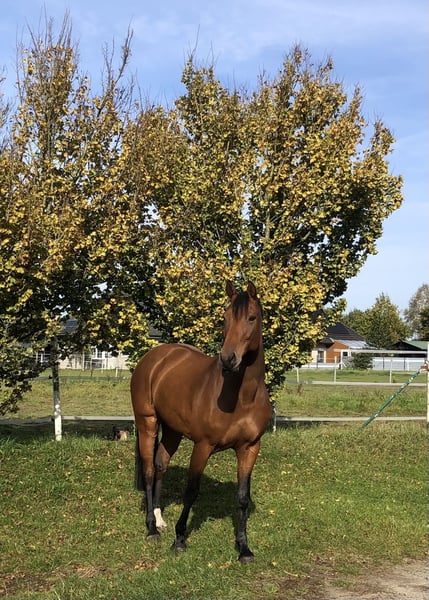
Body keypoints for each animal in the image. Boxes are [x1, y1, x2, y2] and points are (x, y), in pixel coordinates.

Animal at [130, 281, 272, 563]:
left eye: (251, 318)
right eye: (225, 318)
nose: (228, 359)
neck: (242, 397)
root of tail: (155, 357)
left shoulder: (250, 448)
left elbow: (242, 497)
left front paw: (244, 548)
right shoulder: (203, 445)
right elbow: (192, 491)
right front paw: (179, 540)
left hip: (172, 430)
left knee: (161, 464)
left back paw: (159, 519)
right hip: (147, 422)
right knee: (149, 470)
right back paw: (152, 528)